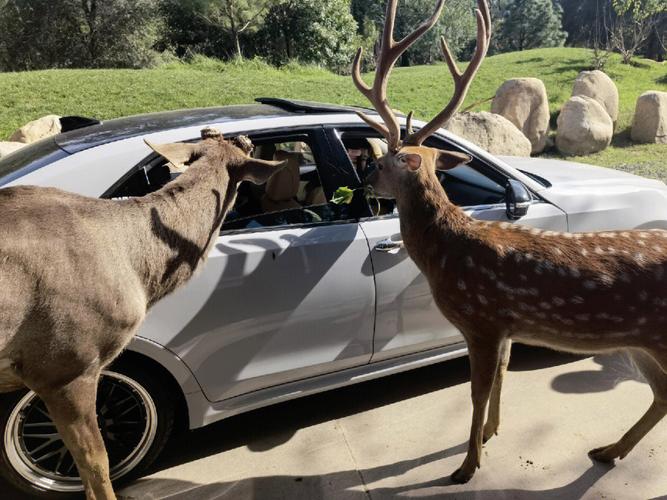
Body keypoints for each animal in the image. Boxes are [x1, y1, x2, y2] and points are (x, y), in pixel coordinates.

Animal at [352, 0, 664, 484]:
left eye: (384, 163)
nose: (365, 182)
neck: (446, 254)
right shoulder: (506, 327)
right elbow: (502, 376)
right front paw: (491, 434)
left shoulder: (481, 319)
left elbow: (477, 391)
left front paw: (467, 465)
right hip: (640, 340)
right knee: (660, 395)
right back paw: (608, 450)